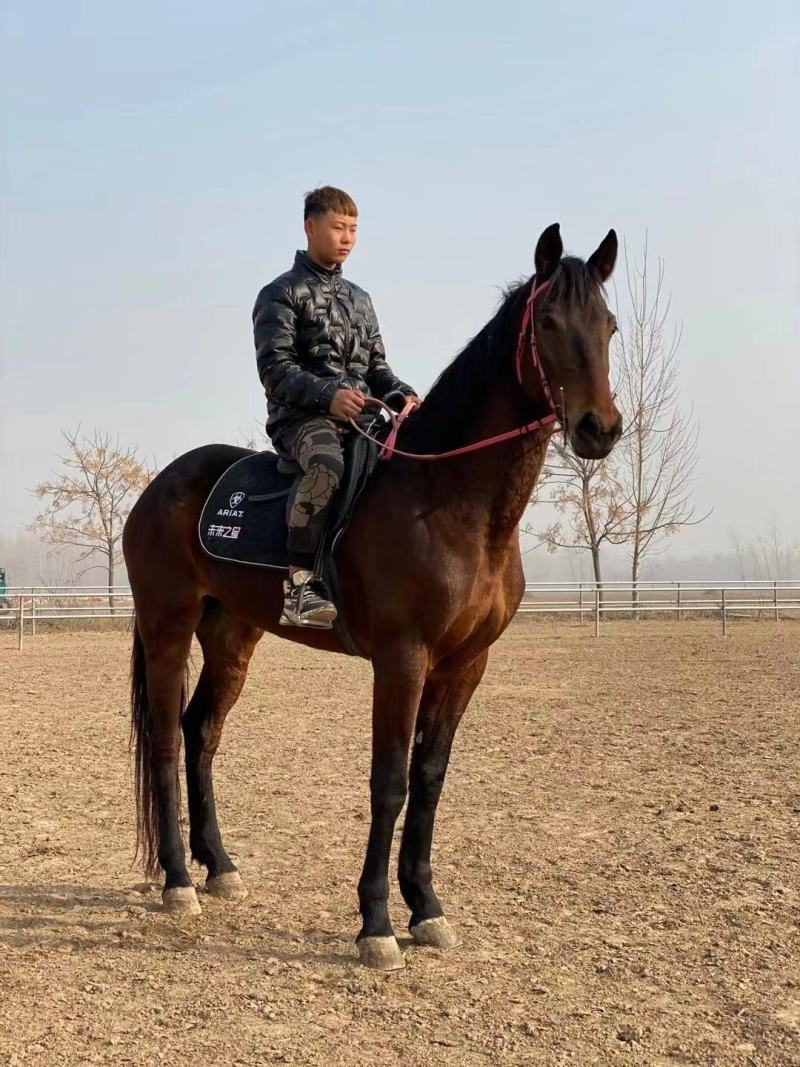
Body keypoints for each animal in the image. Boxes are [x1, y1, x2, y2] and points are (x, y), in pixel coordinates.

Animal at [123, 223, 622, 970]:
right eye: (550, 323)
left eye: (609, 325)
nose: (600, 428)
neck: (451, 502)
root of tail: (159, 486)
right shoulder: (402, 658)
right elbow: (389, 781)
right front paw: (377, 924)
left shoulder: (465, 665)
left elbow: (430, 778)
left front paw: (428, 909)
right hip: (167, 626)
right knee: (162, 740)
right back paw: (180, 880)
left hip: (232, 635)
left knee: (201, 731)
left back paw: (221, 867)